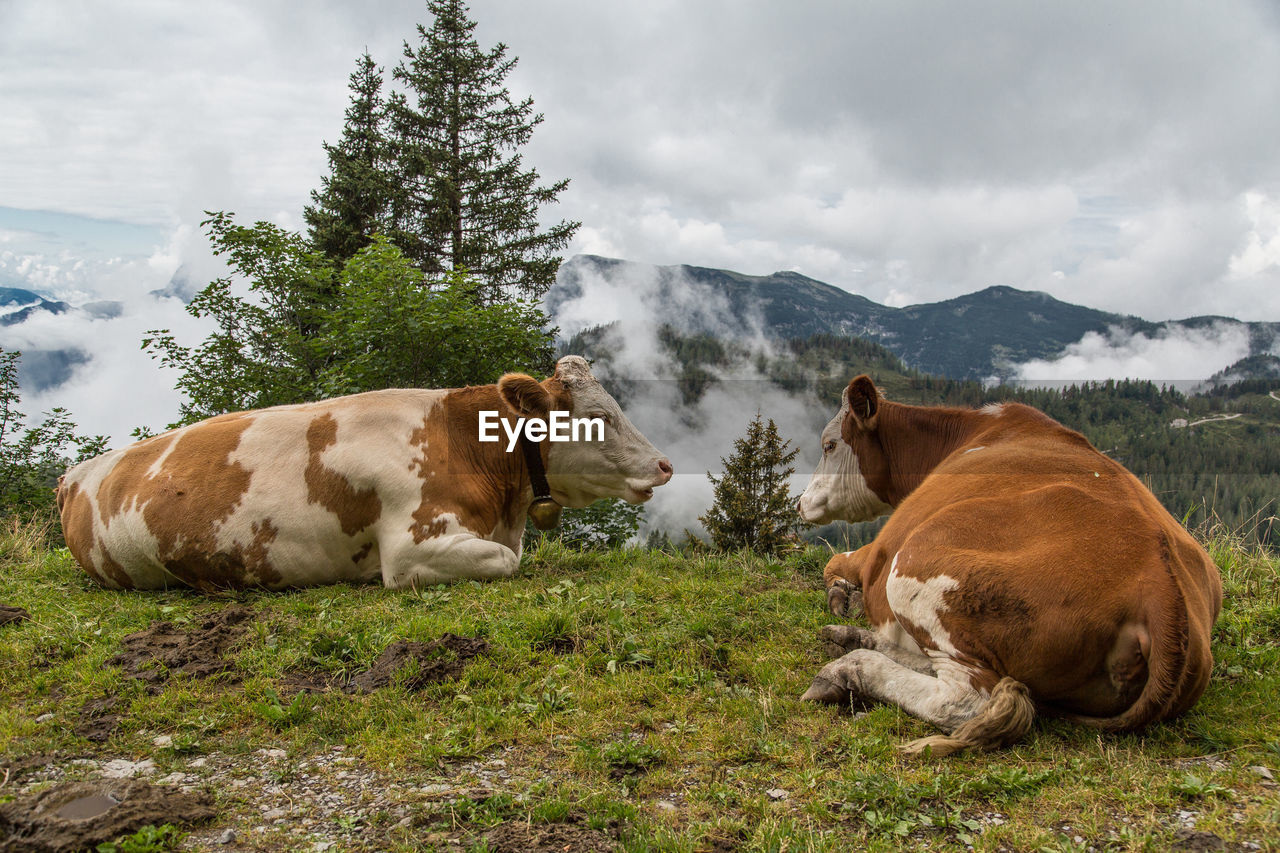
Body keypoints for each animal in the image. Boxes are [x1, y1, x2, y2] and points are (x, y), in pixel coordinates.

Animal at [793, 371, 1223, 753]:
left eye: (829, 445)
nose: (800, 502)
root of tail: (1160, 583)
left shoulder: (878, 551)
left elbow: (834, 563)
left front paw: (843, 595)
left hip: (915, 567)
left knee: (965, 698)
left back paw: (848, 667)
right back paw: (852, 639)